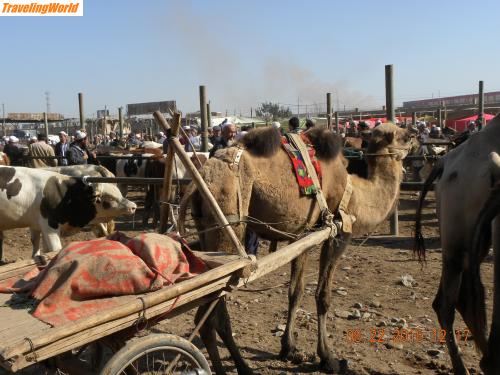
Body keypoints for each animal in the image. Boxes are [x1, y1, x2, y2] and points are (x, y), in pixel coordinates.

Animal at [0, 167, 137, 262]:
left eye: (119, 193)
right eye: (111, 198)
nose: (133, 206)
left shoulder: (36, 224)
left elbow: (37, 244)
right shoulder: (49, 226)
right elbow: (55, 249)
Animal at [181, 122, 410, 374]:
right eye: (405, 136)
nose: (416, 139)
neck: (355, 195)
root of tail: (197, 181)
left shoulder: (301, 236)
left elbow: (295, 291)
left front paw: (288, 348)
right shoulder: (337, 232)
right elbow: (322, 295)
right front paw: (329, 358)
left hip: (207, 236)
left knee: (205, 311)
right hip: (228, 224)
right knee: (214, 313)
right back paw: (241, 367)